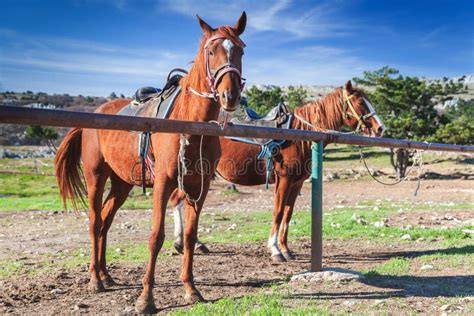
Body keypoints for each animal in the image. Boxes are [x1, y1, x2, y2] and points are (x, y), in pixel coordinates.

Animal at [54, 12, 248, 314]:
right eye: (211, 51)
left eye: (240, 50)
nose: (230, 95)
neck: (190, 124)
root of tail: (93, 115)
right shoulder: (163, 184)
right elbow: (156, 237)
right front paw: (146, 298)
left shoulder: (199, 188)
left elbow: (190, 236)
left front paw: (191, 289)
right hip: (96, 176)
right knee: (95, 221)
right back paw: (94, 279)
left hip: (121, 183)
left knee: (106, 220)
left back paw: (106, 275)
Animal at [170, 81, 386, 262]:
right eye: (361, 102)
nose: (380, 128)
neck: (298, 135)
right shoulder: (283, 180)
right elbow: (279, 212)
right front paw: (275, 249)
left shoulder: (296, 183)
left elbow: (288, 214)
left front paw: (286, 249)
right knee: (177, 200)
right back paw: (182, 242)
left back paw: (189, 243)